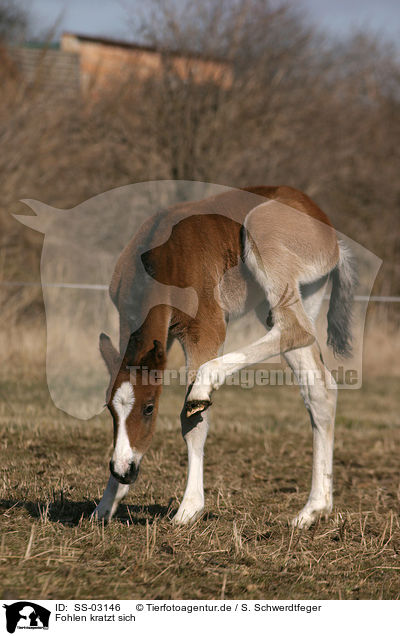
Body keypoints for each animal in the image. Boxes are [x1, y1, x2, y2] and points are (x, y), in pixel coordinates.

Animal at [94, 186, 354, 528]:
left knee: (294, 328)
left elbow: (192, 420)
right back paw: (313, 510)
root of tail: (323, 222)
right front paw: (105, 504)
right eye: (110, 410)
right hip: (295, 296)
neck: (163, 258)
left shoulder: (204, 329)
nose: (123, 470)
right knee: (319, 387)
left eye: (149, 408)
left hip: (263, 235)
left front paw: (189, 509)